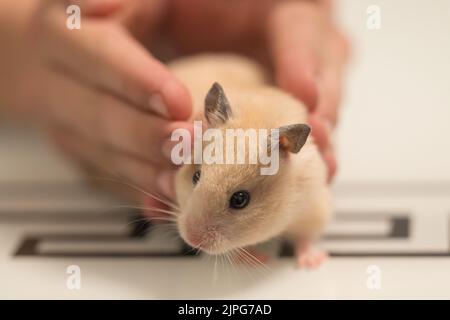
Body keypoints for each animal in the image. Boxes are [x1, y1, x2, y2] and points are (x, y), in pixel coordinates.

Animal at [168, 55, 330, 268]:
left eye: (240, 199)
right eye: (196, 176)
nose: (192, 239)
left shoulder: (314, 206)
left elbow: (306, 237)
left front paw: (311, 263)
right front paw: (253, 261)